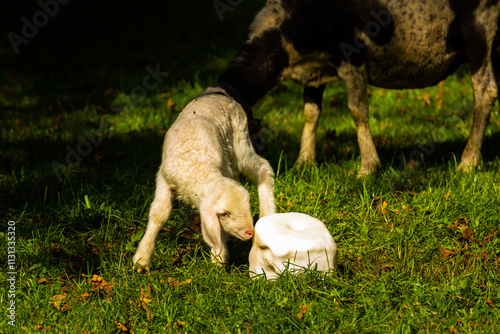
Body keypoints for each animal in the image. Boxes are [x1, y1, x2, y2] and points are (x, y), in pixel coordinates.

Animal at [132, 87, 278, 270]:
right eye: (224, 214)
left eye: (248, 205)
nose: (249, 232)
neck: (196, 167)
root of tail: (217, 92)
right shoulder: (164, 180)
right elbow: (159, 214)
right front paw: (142, 258)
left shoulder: (222, 169)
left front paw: (219, 257)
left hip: (240, 139)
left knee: (263, 168)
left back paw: (268, 214)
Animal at [219, 0, 500, 175]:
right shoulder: (315, 72)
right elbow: (311, 114)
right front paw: (304, 162)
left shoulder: (351, 56)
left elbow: (357, 112)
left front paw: (368, 167)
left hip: (481, 28)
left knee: (485, 91)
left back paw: (468, 162)